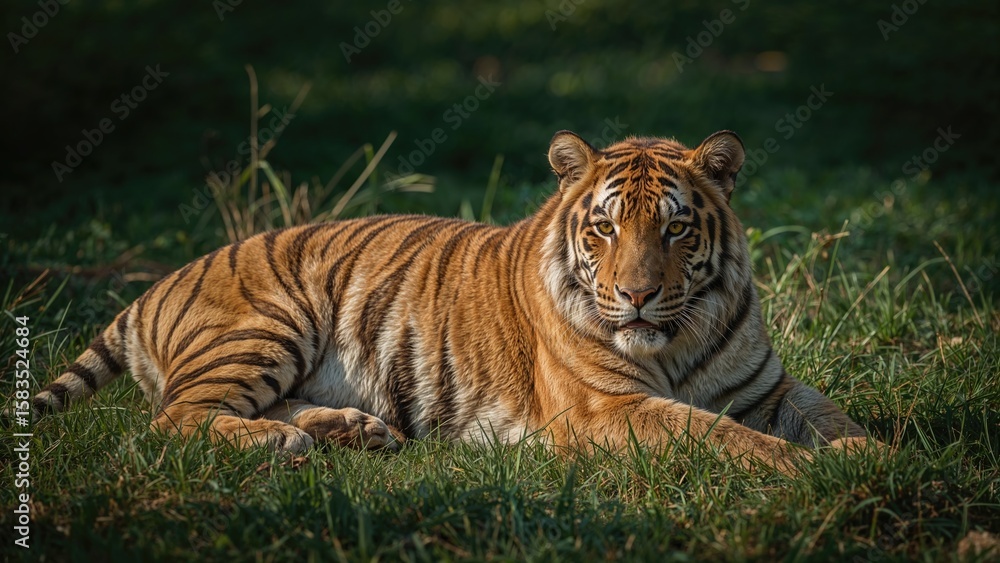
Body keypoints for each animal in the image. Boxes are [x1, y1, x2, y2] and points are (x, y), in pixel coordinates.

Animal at [33, 130, 875, 474]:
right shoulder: (609, 406)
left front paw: (871, 457)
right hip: (269, 320)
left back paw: (347, 430)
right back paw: (285, 441)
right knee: (171, 418)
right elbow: (719, 436)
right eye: (604, 228)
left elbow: (833, 415)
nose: (635, 295)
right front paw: (800, 470)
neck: (679, 335)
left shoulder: (769, 386)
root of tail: (156, 283)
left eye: (675, 227)